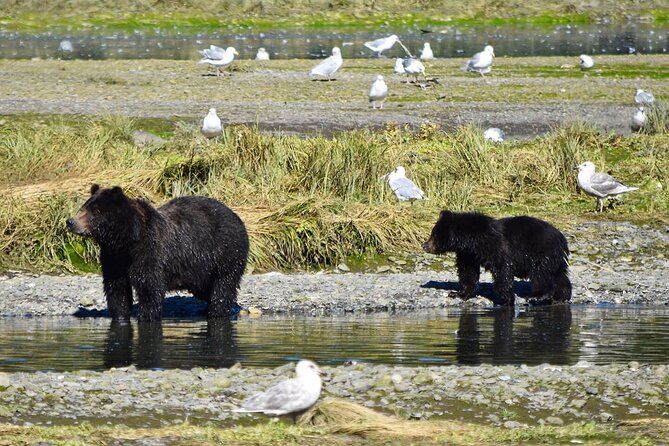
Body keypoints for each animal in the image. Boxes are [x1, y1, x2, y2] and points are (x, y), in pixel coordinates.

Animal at [66, 186, 249, 320]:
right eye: (83, 207)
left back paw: (217, 311)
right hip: (201, 270)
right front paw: (120, 315)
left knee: (223, 286)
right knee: (206, 289)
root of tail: (237, 217)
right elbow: (117, 289)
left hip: (225, 253)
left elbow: (150, 288)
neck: (126, 241)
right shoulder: (113, 258)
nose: (70, 222)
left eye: (95, 212)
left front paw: (145, 315)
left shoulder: (151, 253)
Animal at [422, 211, 568, 304]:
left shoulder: (496, 247)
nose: (424, 245)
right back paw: (561, 296)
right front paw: (458, 293)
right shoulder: (468, 254)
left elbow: (502, 269)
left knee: (540, 274)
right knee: (560, 276)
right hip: (555, 259)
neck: (471, 240)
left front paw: (506, 297)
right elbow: (468, 273)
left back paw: (536, 296)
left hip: (540, 252)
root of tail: (561, 238)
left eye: (434, 235)